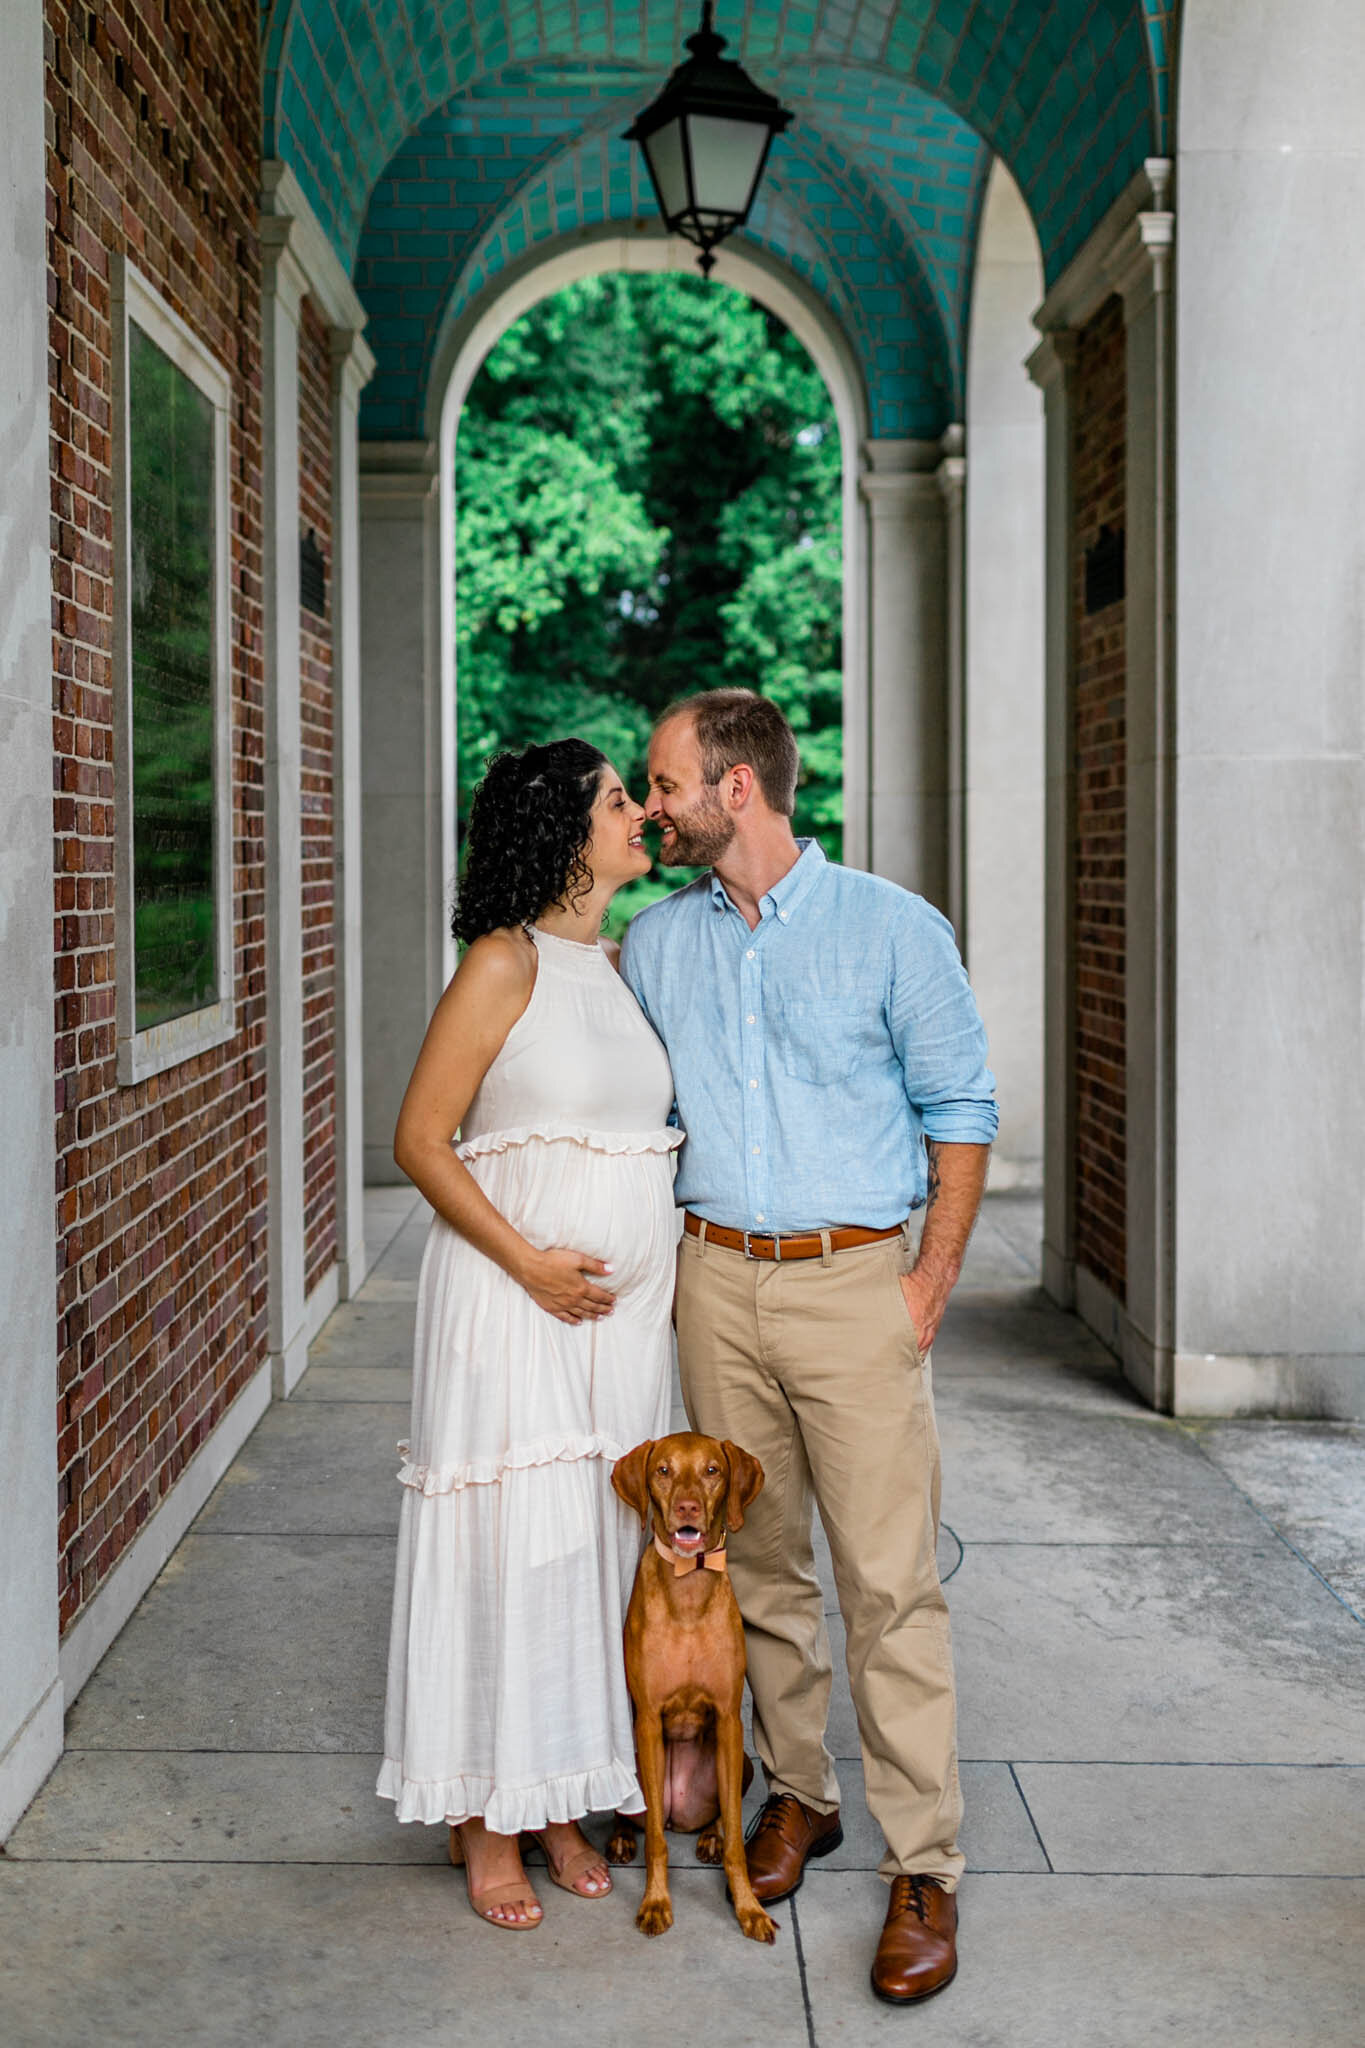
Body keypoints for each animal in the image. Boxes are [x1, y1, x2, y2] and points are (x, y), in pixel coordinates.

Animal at [609, 1433, 777, 1941]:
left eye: (712, 1471)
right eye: (663, 1470)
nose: (688, 1508)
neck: (687, 1588)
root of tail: (678, 1814)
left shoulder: (727, 1719)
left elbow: (738, 1844)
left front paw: (748, 1908)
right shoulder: (647, 1720)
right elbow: (655, 1843)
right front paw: (655, 1902)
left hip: (740, 1762)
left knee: (722, 1811)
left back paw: (709, 1835)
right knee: (641, 1819)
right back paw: (620, 1837)